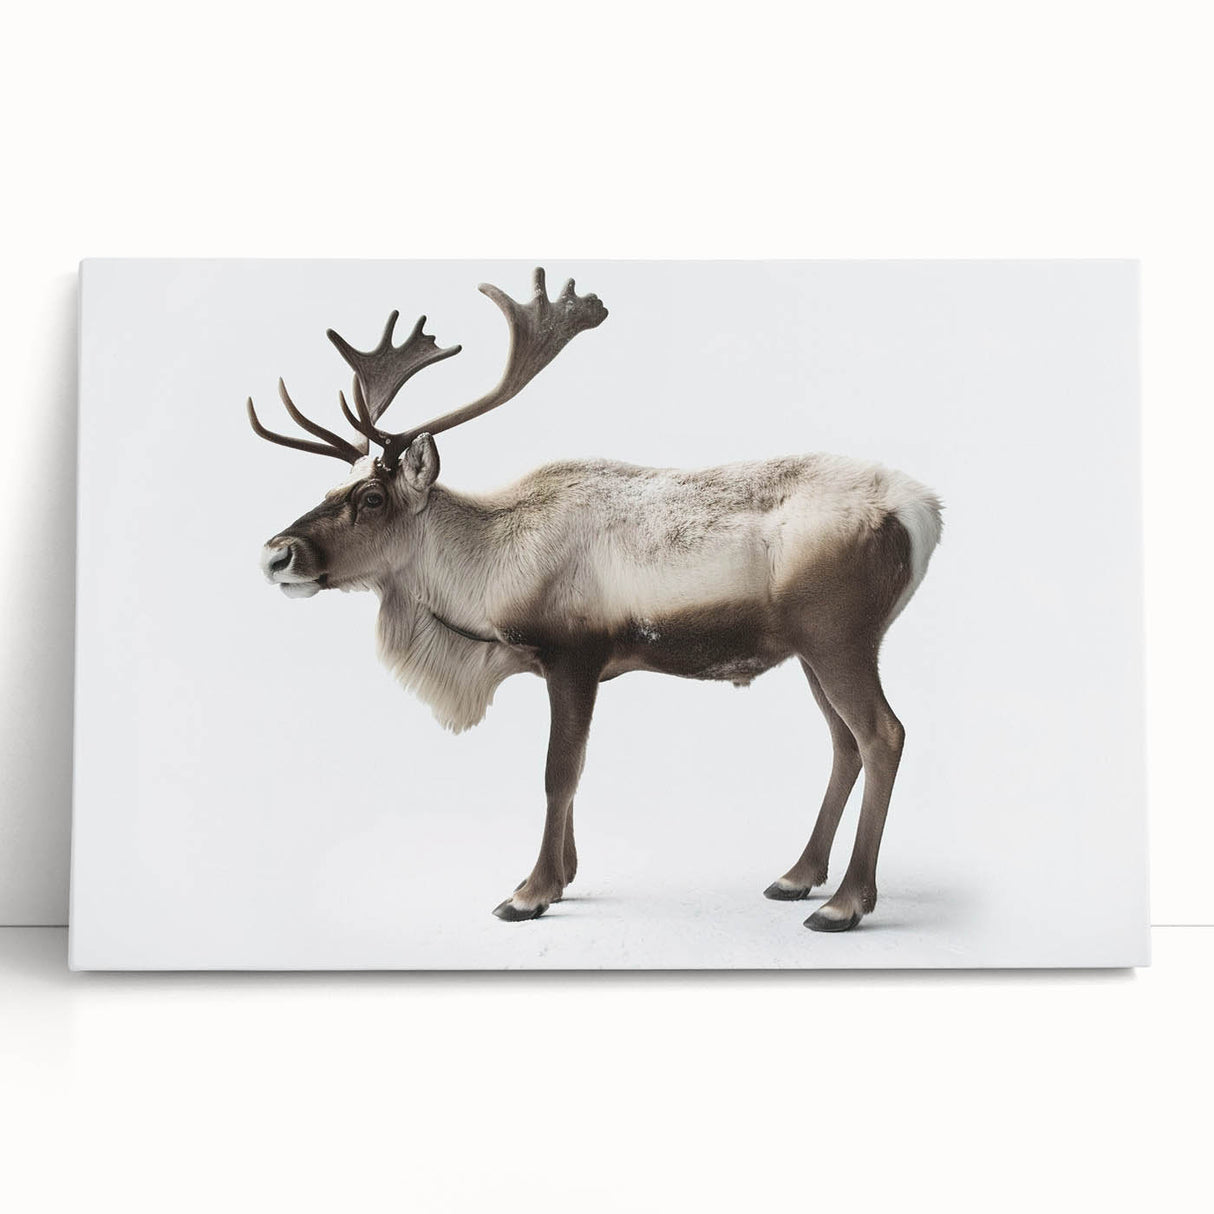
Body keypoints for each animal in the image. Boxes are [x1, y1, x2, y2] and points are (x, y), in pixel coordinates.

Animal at [249, 267, 942, 931]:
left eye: (372, 498)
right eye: (332, 488)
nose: (276, 554)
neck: (488, 571)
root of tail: (925, 512)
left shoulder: (574, 656)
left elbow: (559, 772)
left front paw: (529, 893)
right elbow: (574, 775)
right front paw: (564, 875)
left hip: (838, 637)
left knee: (883, 734)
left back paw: (844, 903)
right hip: (810, 650)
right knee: (844, 743)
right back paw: (798, 876)